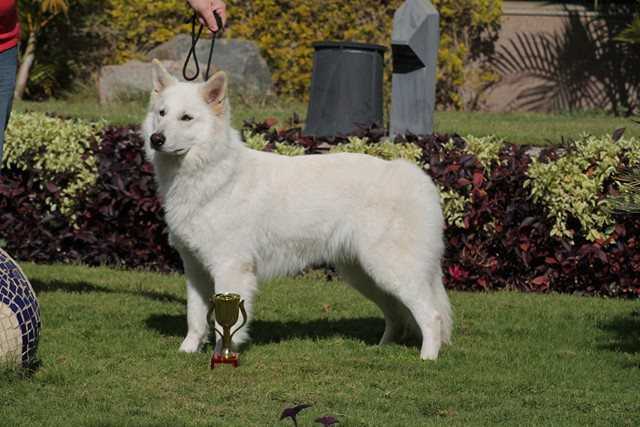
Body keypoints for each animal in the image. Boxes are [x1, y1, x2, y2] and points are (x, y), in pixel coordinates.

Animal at [142, 61, 452, 362]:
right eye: (162, 113)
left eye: (186, 118)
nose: (156, 139)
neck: (211, 173)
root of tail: (416, 176)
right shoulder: (194, 269)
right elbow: (195, 318)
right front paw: (187, 351)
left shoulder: (230, 268)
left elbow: (223, 324)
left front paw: (222, 355)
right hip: (364, 274)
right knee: (397, 314)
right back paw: (381, 348)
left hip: (390, 270)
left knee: (432, 316)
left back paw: (428, 358)